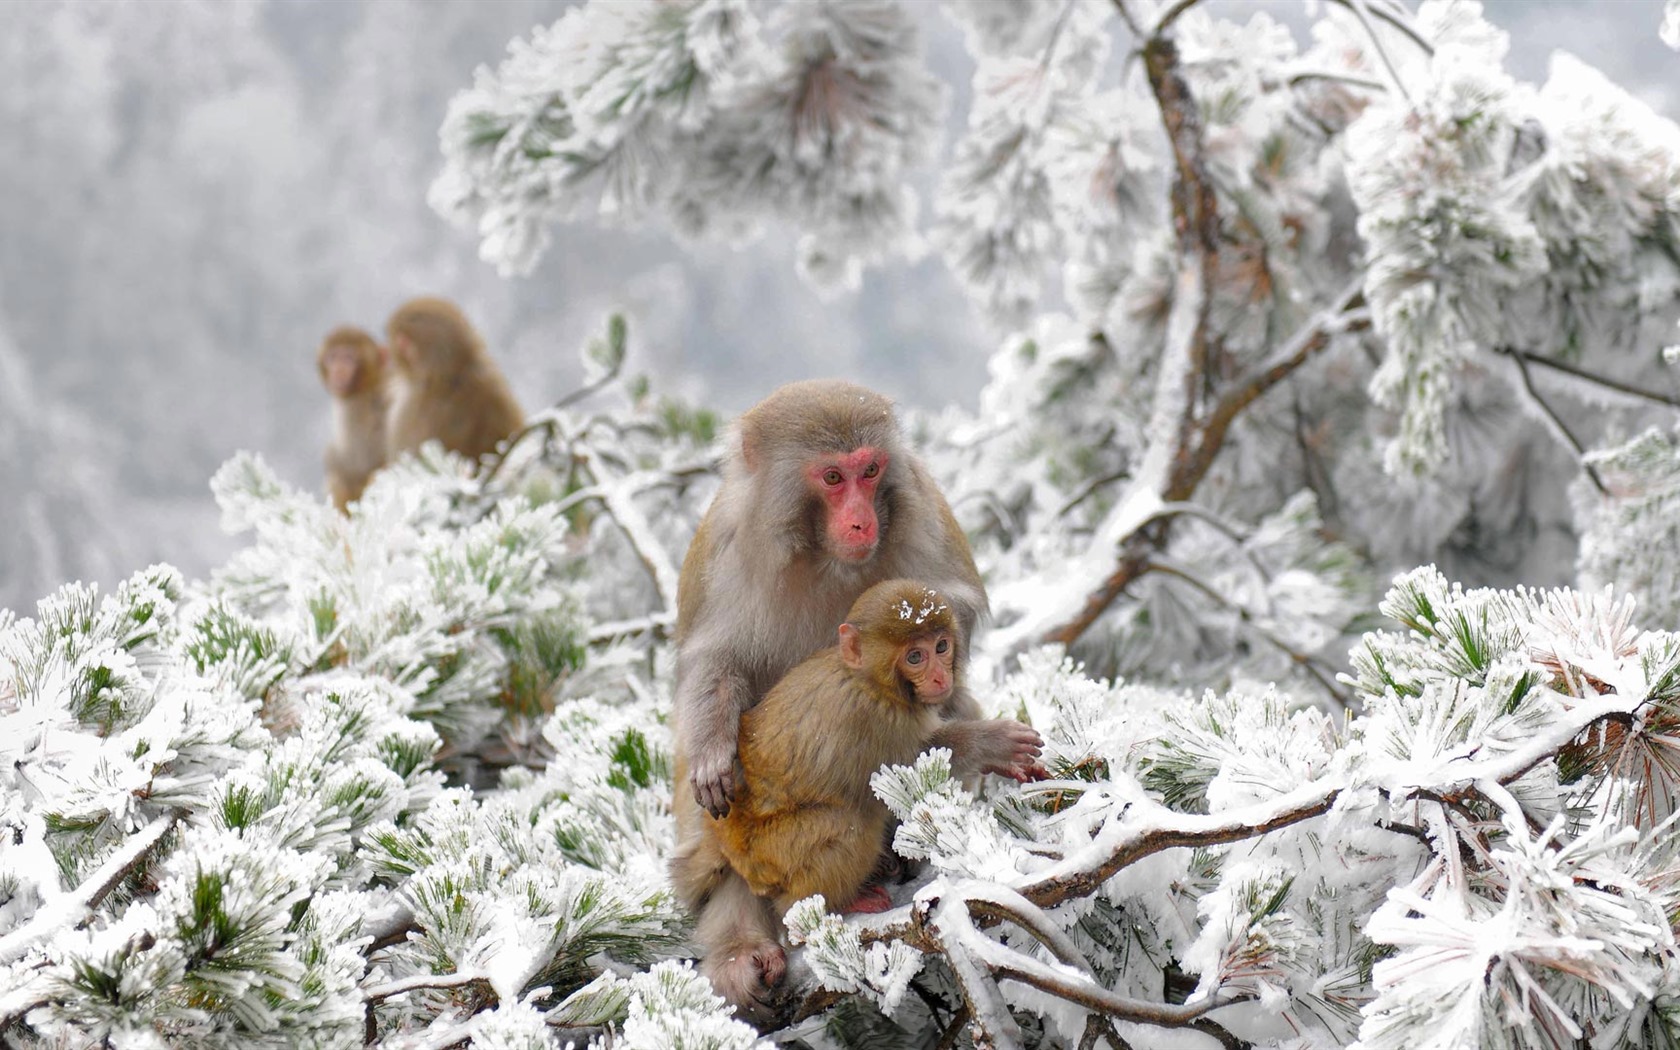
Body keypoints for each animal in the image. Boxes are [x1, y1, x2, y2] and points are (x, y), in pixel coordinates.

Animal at [668, 577, 1034, 1021]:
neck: (869, 681)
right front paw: (992, 743)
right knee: (851, 822)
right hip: (771, 850)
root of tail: (725, 839)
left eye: (941, 646)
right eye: (915, 656)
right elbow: (913, 762)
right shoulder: (876, 720)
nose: (938, 676)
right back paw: (828, 909)